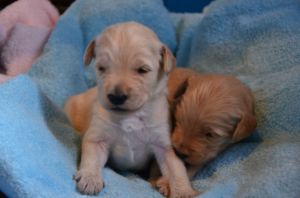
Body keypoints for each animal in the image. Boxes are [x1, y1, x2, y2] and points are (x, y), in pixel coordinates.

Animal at [71, 21, 196, 196]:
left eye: (143, 70)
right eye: (102, 68)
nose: (116, 97)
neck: (131, 116)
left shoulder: (164, 144)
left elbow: (176, 168)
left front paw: (183, 191)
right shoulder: (97, 138)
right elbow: (91, 158)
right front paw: (90, 178)